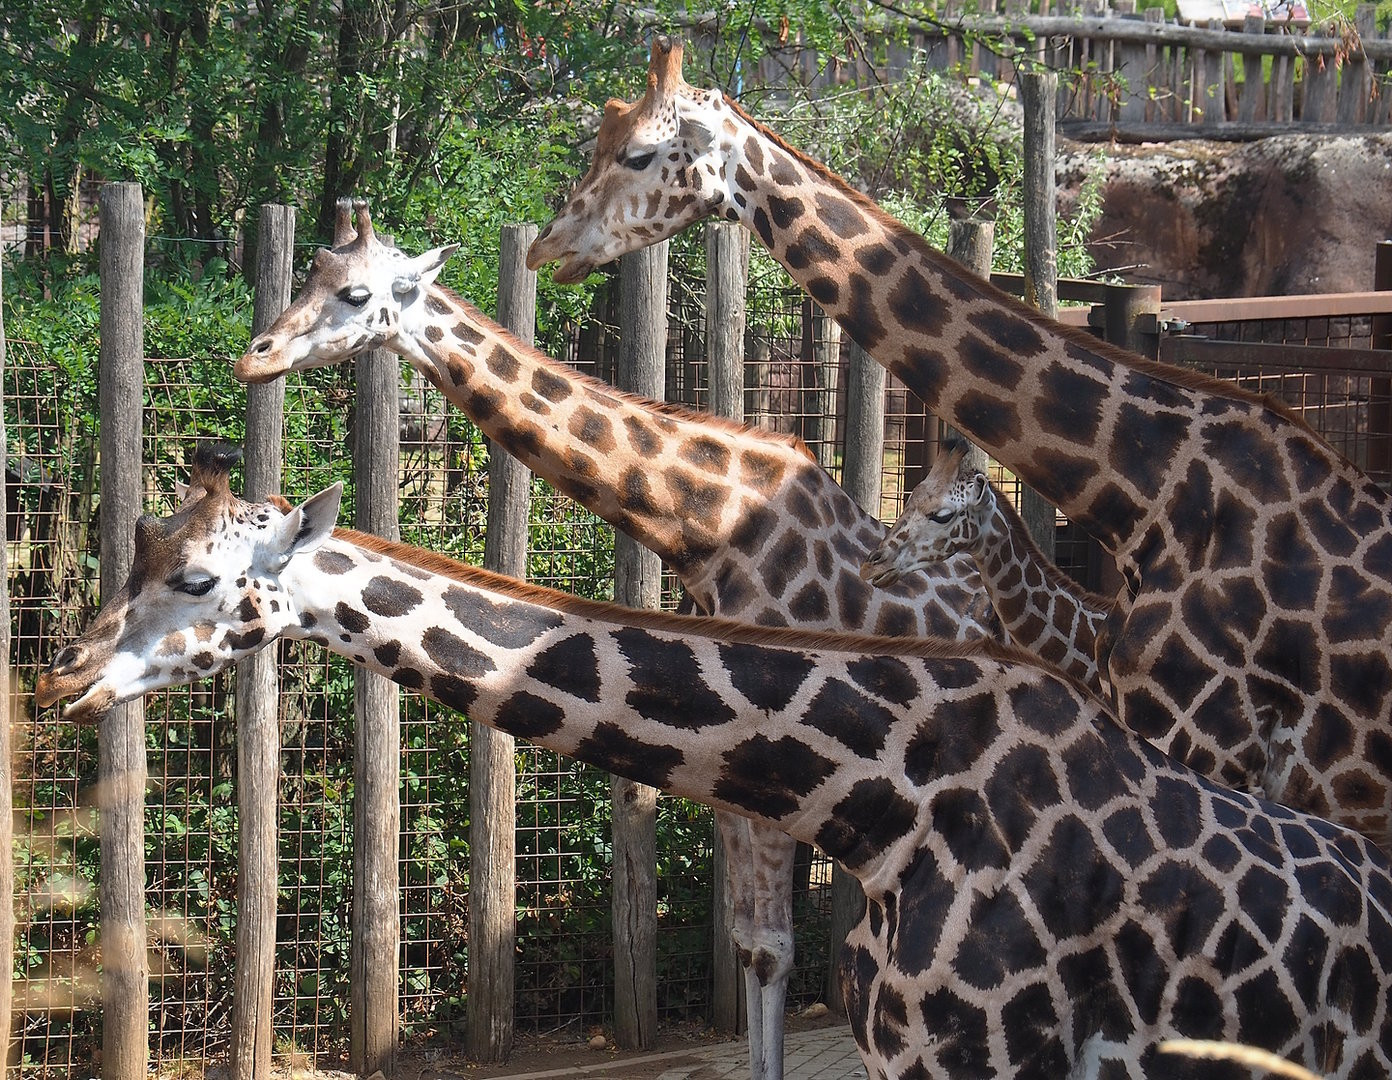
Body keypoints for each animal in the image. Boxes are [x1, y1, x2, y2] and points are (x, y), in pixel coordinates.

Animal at [235, 198, 1002, 1080]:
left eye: (357, 294)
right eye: (311, 271)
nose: (253, 357)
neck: (710, 525)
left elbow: (775, 948)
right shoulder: (735, 766)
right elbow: (752, 945)